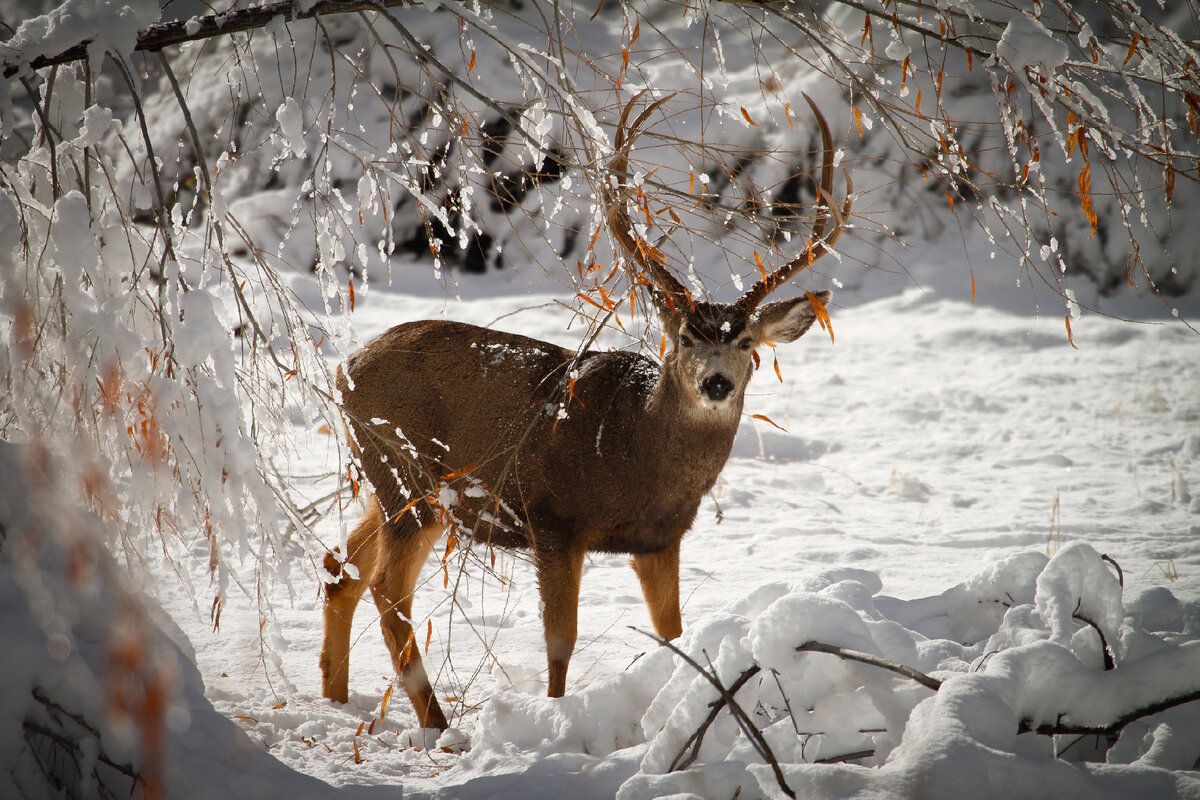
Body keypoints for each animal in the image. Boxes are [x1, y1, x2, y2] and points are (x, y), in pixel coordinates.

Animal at [314, 90, 849, 729]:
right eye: (684, 336)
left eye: (745, 342)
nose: (716, 383)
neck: (636, 451)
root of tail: (344, 369)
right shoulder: (553, 518)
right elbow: (560, 641)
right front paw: (555, 717)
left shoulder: (659, 539)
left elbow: (673, 633)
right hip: (411, 475)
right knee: (388, 593)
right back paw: (439, 725)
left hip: (384, 478)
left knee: (340, 570)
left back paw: (335, 700)